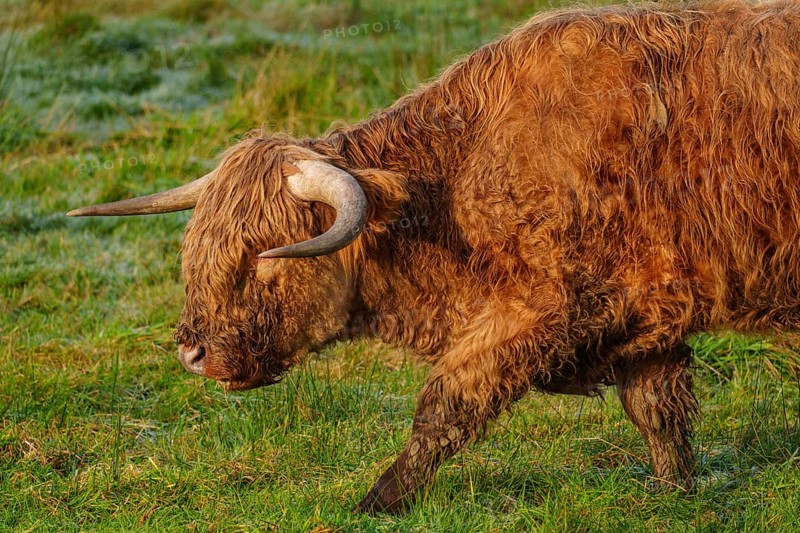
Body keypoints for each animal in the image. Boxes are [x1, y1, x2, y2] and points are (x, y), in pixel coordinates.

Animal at [68, 0, 800, 514]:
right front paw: (677, 490)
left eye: (265, 259)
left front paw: (376, 501)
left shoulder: (540, 310)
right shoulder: (646, 310)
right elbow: (659, 410)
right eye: (200, 249)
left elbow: (444, 405)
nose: (191, 353)